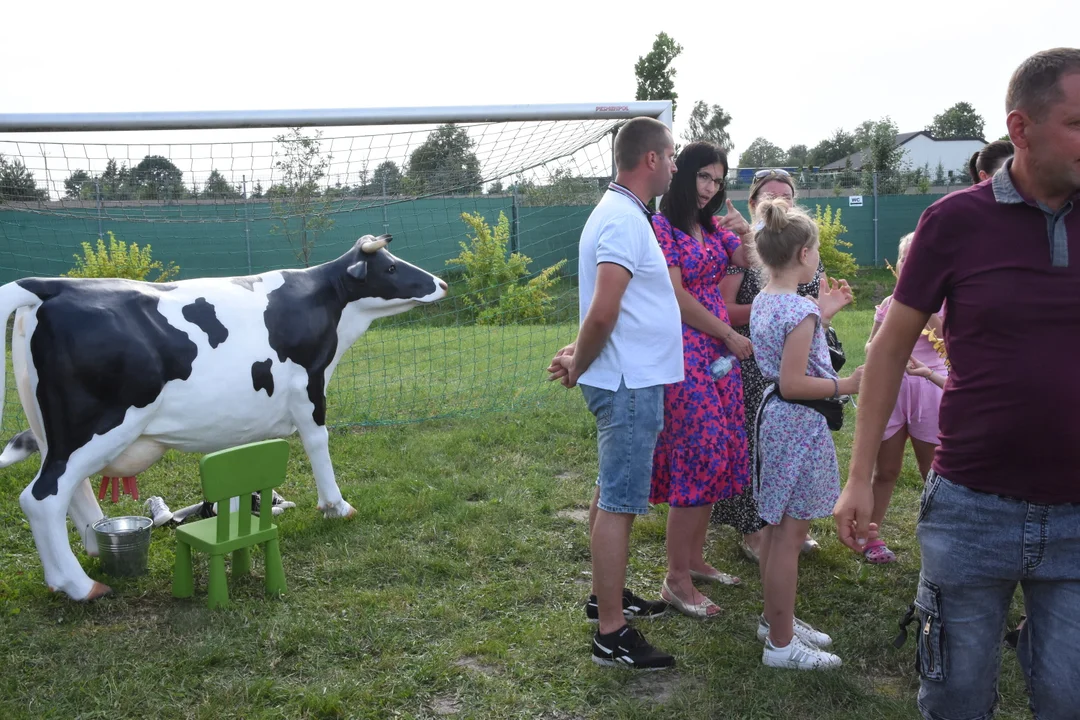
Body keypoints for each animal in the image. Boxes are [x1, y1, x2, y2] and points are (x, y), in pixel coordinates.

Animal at [1, 234, 447, 600]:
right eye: (391, 268)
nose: (442, 283)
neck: (328, 303)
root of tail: (52, 284)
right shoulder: (309, 387)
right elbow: (318, 442)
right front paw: (336, 507)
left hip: (56, 431)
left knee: (73, 492)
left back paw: (93, 551)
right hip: (98, 425)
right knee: (42, 497)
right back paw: (79, 586)